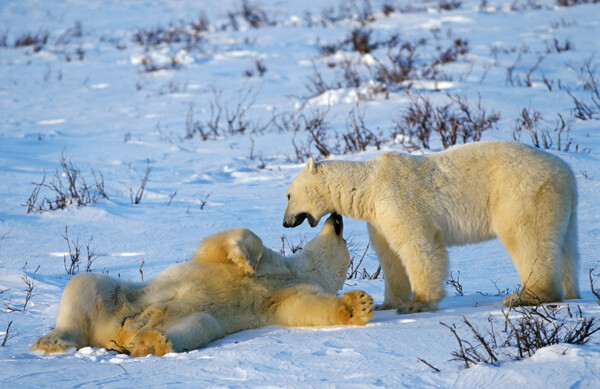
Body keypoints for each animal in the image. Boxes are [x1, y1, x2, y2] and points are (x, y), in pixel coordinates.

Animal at [32, 214, 372, 356]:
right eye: (341, 231)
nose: (337, 216)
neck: (292, 272)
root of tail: (113, 334)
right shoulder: (269, 263)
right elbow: (233, 241)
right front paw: (245, 261)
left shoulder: (283, 298)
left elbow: (306, 308)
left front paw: (359, 306)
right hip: (125, 296)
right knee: (84, 283)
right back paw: (52, 340)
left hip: (189, 319)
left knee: (198, 324)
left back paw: (150, 342)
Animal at [284, 141, 580, 314]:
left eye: (287, 195)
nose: (285, 222)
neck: (368, 185)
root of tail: (567, 172)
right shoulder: (379, 218)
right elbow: (390, 255)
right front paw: (386, 303)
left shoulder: (398, 199)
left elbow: (417, 246)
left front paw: (418, 303)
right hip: (561, 205)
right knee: (566, 247)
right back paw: (572, 291)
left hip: (519, 193)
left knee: (526, 238)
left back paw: (526, 296)